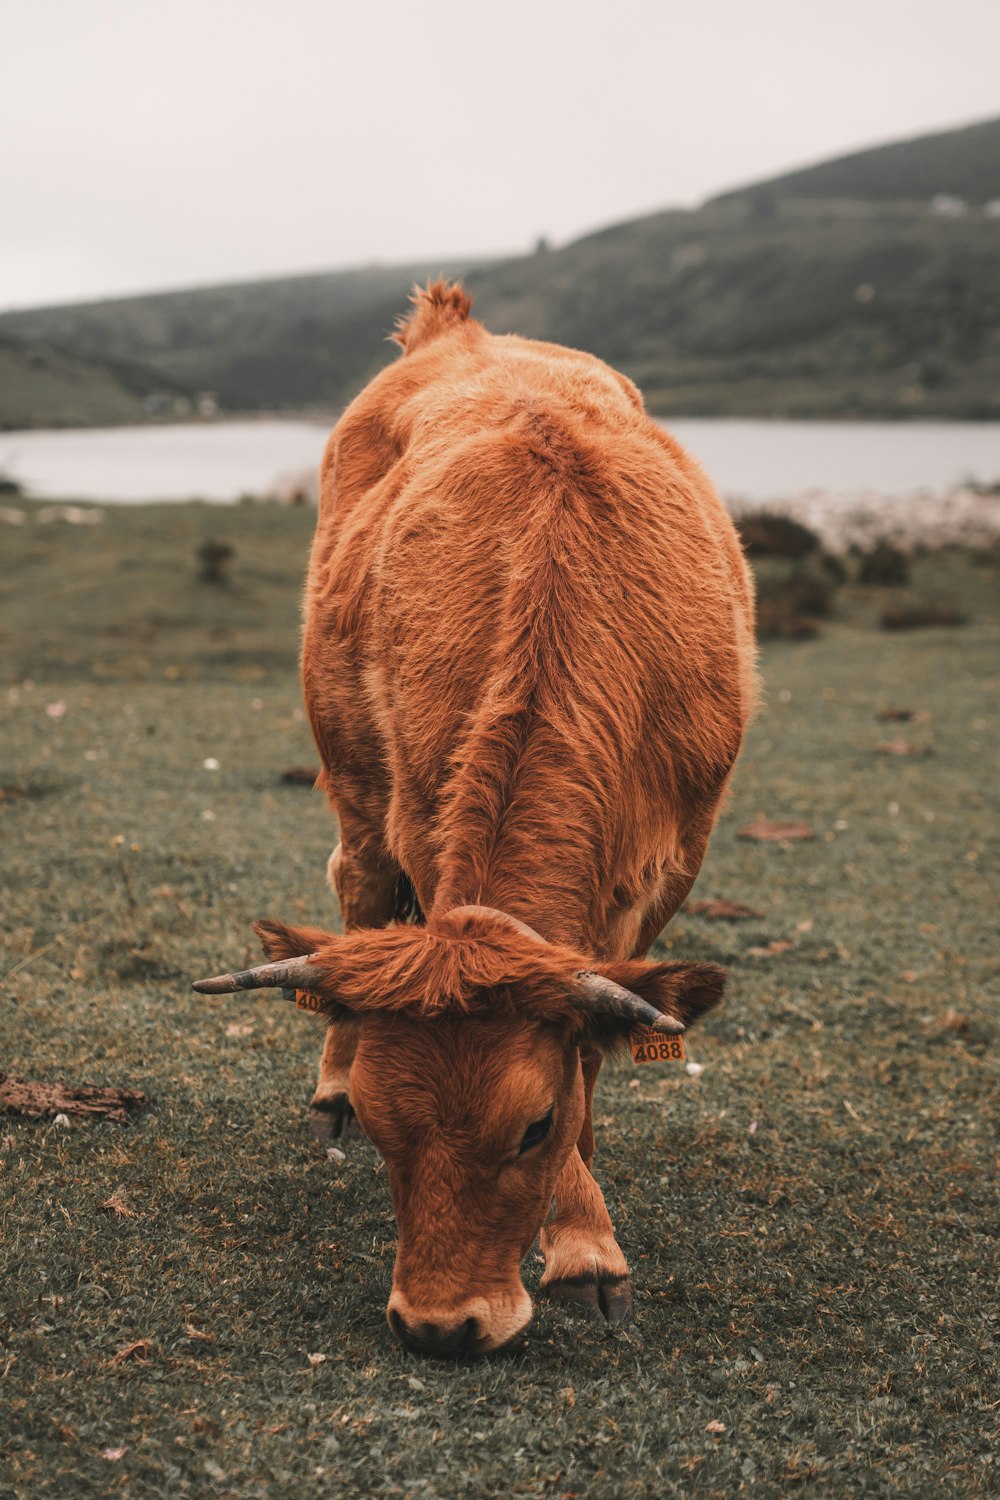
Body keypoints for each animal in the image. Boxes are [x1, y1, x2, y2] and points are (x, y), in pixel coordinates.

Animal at [194, 283, 755, 1362]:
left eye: (530, 1127)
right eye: (386, 1127)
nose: (438, 1326)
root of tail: (457, 328)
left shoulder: (670, 869)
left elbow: (590, 1041)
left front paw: (582, 1240)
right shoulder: (421, 816)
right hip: (354, 775)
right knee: (358, 895)